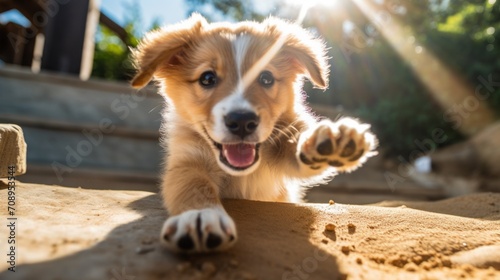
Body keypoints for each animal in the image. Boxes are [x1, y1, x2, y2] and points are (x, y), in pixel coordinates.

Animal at [131, 14, 376, 253]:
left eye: (266, 78)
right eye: (207, 78)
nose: (241, 121)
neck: (240, 175)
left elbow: (297, 148)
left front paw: (327, 142)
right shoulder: (187, 161)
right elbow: (193, 186)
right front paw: (200, 215)